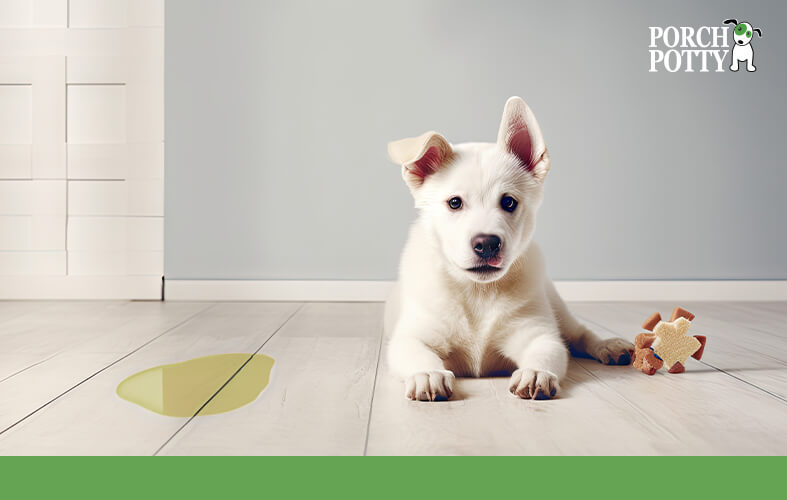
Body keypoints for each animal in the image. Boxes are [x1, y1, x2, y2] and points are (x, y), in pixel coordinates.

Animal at [384, 97, 636, 402]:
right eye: (454, 203)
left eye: (508, 202)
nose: (487, 244)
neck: (478, 293)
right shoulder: (413, 337)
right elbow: (417, 353)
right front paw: (428, 374)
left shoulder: (538, 334)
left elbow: (547, 350)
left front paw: (536, 373)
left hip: (558, 308)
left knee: (579, 334)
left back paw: (608, 345)